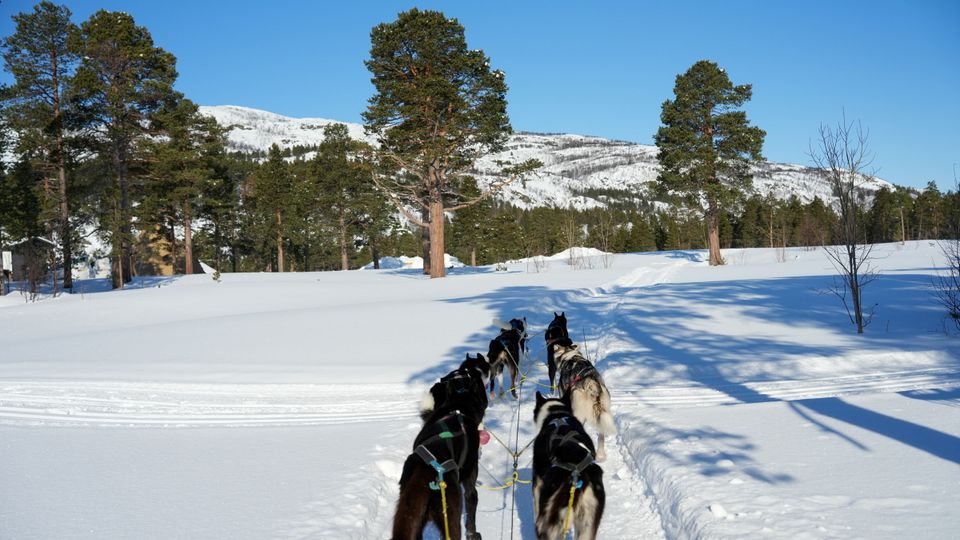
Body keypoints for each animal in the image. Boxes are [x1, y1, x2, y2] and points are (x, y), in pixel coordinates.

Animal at [394, 354, 492, 540]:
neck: (458, 406)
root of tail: (428, 469)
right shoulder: (470, 484)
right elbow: (472, 504)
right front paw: (474, 534)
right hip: (451, 516)